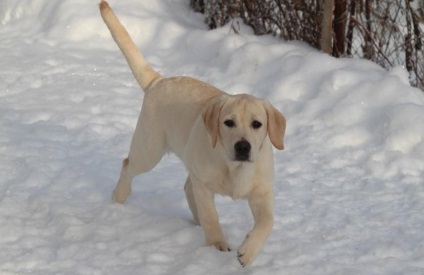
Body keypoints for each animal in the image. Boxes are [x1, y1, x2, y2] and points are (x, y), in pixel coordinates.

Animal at [99, 0, 284, 268]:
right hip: (150, 149)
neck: (235, 169)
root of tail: (158, 81)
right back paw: (119, 196)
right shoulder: (204, 185)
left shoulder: (262, 192)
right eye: (228, 122)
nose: (242, 147)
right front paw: (217, 246)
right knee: (128, 165)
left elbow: (267, 222)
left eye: (257, 124)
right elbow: (211, 215)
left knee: (186, 186)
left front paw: (248, 251)